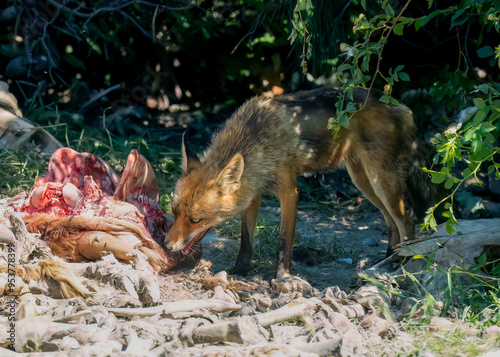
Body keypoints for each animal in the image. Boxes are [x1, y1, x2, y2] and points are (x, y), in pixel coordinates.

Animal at [165, 87, 438, 276]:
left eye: (195, 220)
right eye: (174, 212)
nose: (166, 245)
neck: (255, 138)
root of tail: (400, 105)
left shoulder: (289, 191)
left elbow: (284, 242)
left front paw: (281, 276)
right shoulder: (252, 193)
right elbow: (246, 240)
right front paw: (240, 270)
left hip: (380, 181)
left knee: (407, 221)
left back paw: (403, 261)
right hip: (364, 182)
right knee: (391, 223)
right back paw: (387, 258)